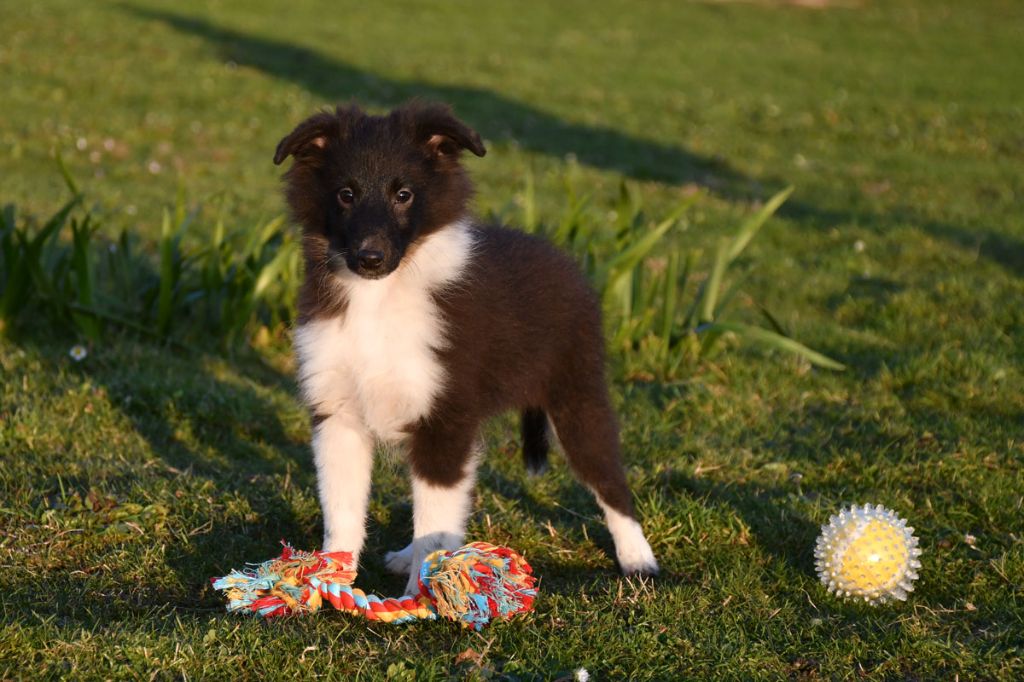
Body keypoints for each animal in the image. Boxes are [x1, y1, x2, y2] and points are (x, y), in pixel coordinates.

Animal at [274, 99, 655, 589]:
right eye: (345, 194)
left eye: (404, 195)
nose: (370, 258)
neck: (377, 299)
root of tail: (563, 258)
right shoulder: (337, 414)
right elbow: (342, 514)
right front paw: (329, 585)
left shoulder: (446, 418)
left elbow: (434, 526)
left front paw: (419, 597)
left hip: (578, 394)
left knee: (608, 479)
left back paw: (637, 558)